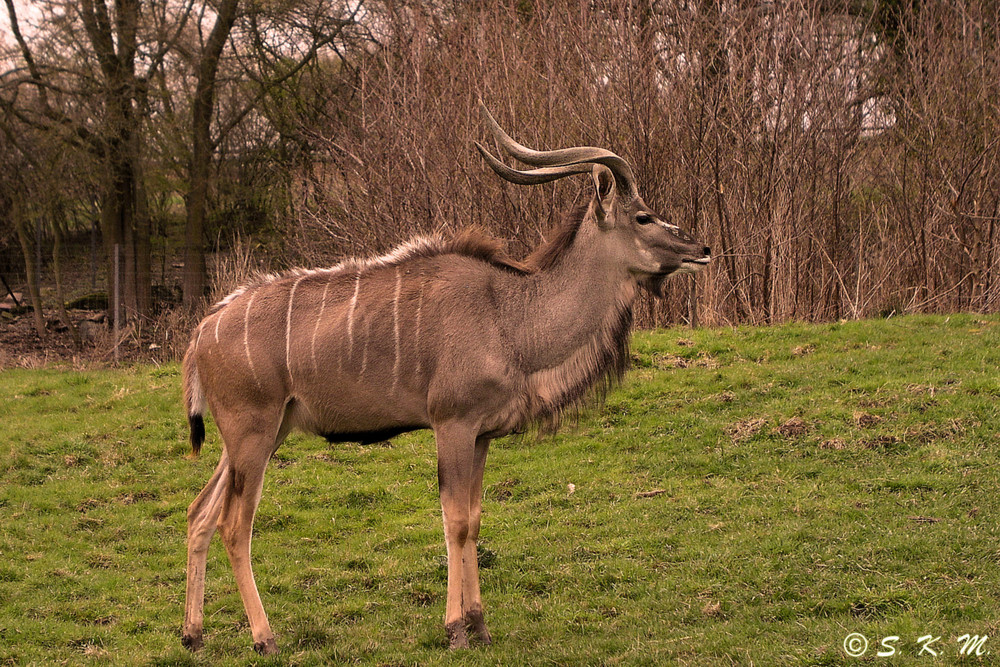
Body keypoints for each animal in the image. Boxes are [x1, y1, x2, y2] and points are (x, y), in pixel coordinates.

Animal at [182, 104, 712, 652]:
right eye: (643, 216)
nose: (703, 248)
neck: (510, 315)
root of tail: (202, 331)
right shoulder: (452, 424)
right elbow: (454, 521)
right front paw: (457, 628)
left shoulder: (481, 435)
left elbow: (474, 520)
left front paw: (479, 624)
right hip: (253, 432)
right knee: (234, 525)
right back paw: (265, 638)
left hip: (258, 436)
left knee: (200, 513)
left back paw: (193, 634)